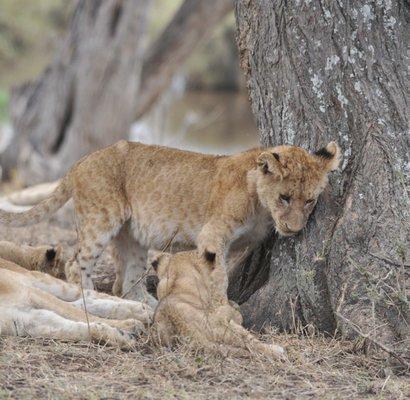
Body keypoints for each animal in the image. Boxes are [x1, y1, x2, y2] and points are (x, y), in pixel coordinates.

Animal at [0, 242, 153, 348]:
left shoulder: (29, 294)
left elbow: (82, 316)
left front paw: (129, 325)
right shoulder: (22, 321)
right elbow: (75, 329)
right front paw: (120, 337)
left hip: (39, 281)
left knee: (86, 295)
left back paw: (142, 309)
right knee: (81, 303)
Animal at [149, 248, 286, 358]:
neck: (176, 280)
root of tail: (187, 331)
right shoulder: (222, 313)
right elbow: (236, 314)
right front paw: (234, 305)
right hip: (225, 328)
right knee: (251, 343)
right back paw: (277, 350)